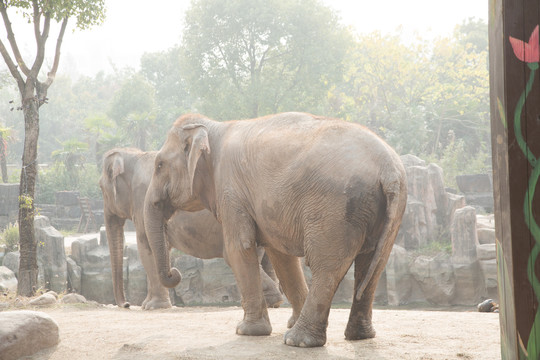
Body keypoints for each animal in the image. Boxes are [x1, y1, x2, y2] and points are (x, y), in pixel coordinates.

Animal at [98, 146, 282, 310]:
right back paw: (272, 302)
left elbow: (146, 247)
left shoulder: (142, 201)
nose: (127, 304)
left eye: (100, 187)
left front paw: (152, 306)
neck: (134, 155)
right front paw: (148, 305)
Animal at [143, 112, 404, 346]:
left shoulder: (231, 190)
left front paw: (246, 331)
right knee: (373, 265)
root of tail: (389, 170)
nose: (175, 272)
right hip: (383, 209)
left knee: (327, 267)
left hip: (335, 208)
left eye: (159, 164)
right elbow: (282, 257)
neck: (214, 127)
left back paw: (298, 341)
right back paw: (359, 336)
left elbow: (238, 250)